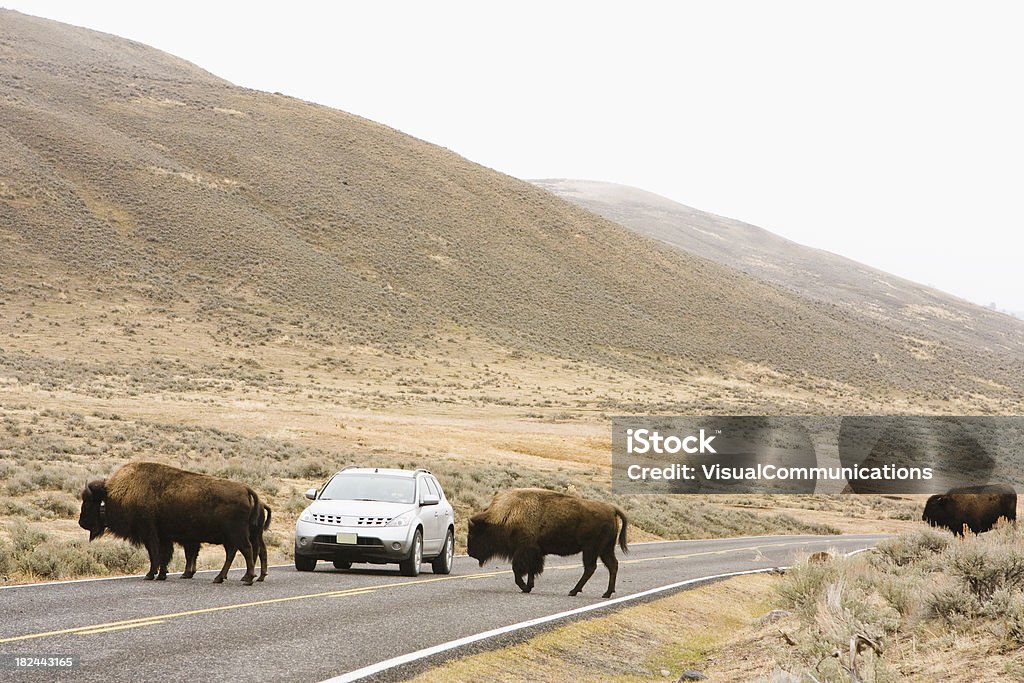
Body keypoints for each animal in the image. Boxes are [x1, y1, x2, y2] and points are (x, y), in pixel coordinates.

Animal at [80, 462, 264, 585]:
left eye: (88, 503)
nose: (81, 522)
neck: (114, 494)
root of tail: (246, 489)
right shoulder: (165, 537)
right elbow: (165, 556)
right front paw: (162, 575)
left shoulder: (150, 535)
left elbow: (155, 555)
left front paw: (149, 575)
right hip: (231, 537)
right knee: (234, 553)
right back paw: (220, 578)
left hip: (236, 535)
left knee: (247, 550)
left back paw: (247, 579)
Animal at [468, 485, 626, 598]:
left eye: (475, 533)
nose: (469, 552)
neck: (508, 513)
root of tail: (611, 508)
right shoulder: (534, 553)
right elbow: (531, 570)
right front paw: (528, 587)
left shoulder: (524, 551)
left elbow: (517, 570)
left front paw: (524, 587)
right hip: (605, 549)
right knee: (612, 565)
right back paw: (606, 593)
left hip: (591, 549)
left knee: (591, 568)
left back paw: (573, 591)